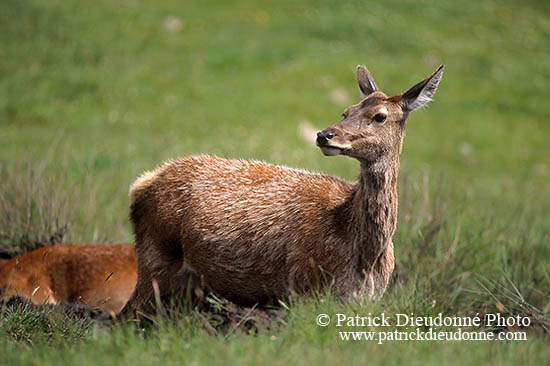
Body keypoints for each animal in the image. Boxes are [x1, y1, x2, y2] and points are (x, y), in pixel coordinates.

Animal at [123, 63, 446, 314]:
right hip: (155, 258)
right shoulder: (304, 287)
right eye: (346, 111)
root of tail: (142, 183)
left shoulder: (366, 300)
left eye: (380, 116)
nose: (324, 135)